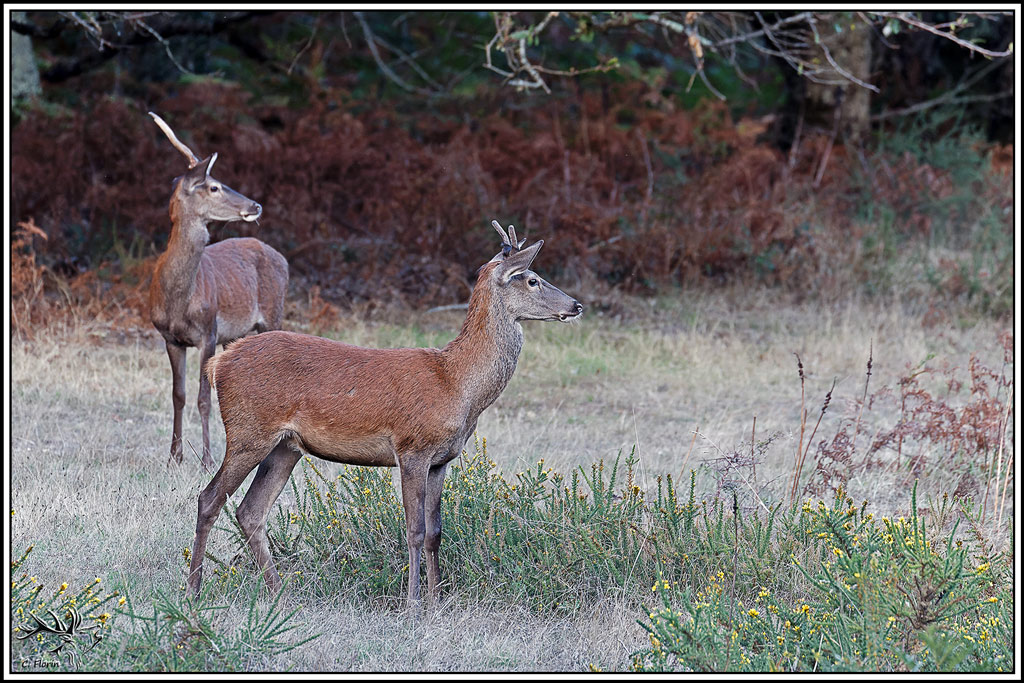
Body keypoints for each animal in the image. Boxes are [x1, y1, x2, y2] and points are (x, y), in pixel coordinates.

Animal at [148, 112, 288, 471]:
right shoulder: (170, 337)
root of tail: (279, 256)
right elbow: (179, 396)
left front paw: (207, 459)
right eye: (214, 186)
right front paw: (174, 457)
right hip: (236, 335)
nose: (256, 205)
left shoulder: (208, 331)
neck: (178, 299)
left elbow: (203, 398)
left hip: (272, 315)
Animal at [187, 220, 583, 603]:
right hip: (248, 431)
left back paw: (280, 595)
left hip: (285, 446)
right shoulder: (412, 448)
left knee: (250, 511)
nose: (576, 305)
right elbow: (414, 530)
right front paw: (413, 604)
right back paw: (194, 590)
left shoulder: (441, 460)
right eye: (532, 279)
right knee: (209, 498)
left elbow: (435, 532)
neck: (457, 383)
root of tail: (218, 363)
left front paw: (437, 603)